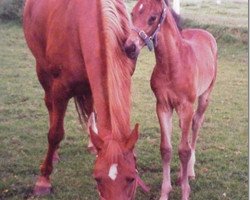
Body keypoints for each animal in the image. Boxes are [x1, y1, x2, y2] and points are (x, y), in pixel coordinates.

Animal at [125, 0, 217, 200]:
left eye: (152, 18)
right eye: (132, 14)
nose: (129, 47)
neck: (173, 64)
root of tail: (204, 33)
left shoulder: (186, 107)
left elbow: (184, 151)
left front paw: (185, 191)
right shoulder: (163, 106)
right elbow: (166, 149)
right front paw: (165, 193)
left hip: (204, 97)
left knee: (195, 126)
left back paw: (190, 172)